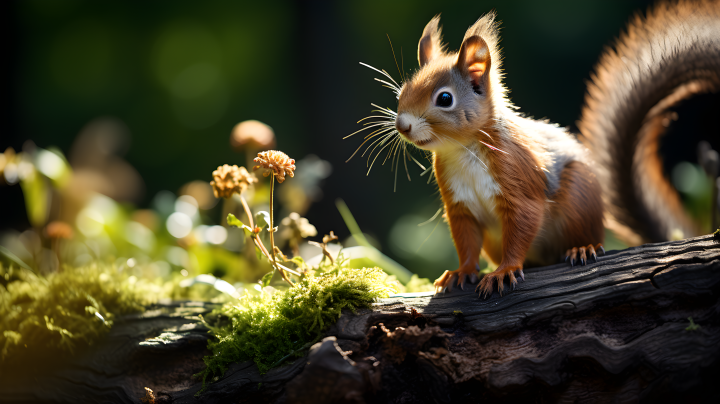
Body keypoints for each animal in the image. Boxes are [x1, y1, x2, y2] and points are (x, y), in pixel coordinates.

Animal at [356, 0, 720, 296]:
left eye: (444, 98)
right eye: (403, 90)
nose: (402, 125)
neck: (463, 150)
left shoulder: (519, 178)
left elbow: (523, 224)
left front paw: (504, 271)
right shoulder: (458, 206)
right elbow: (466, 241)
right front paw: (462, 272)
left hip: (580, 199)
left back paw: (582, 249)